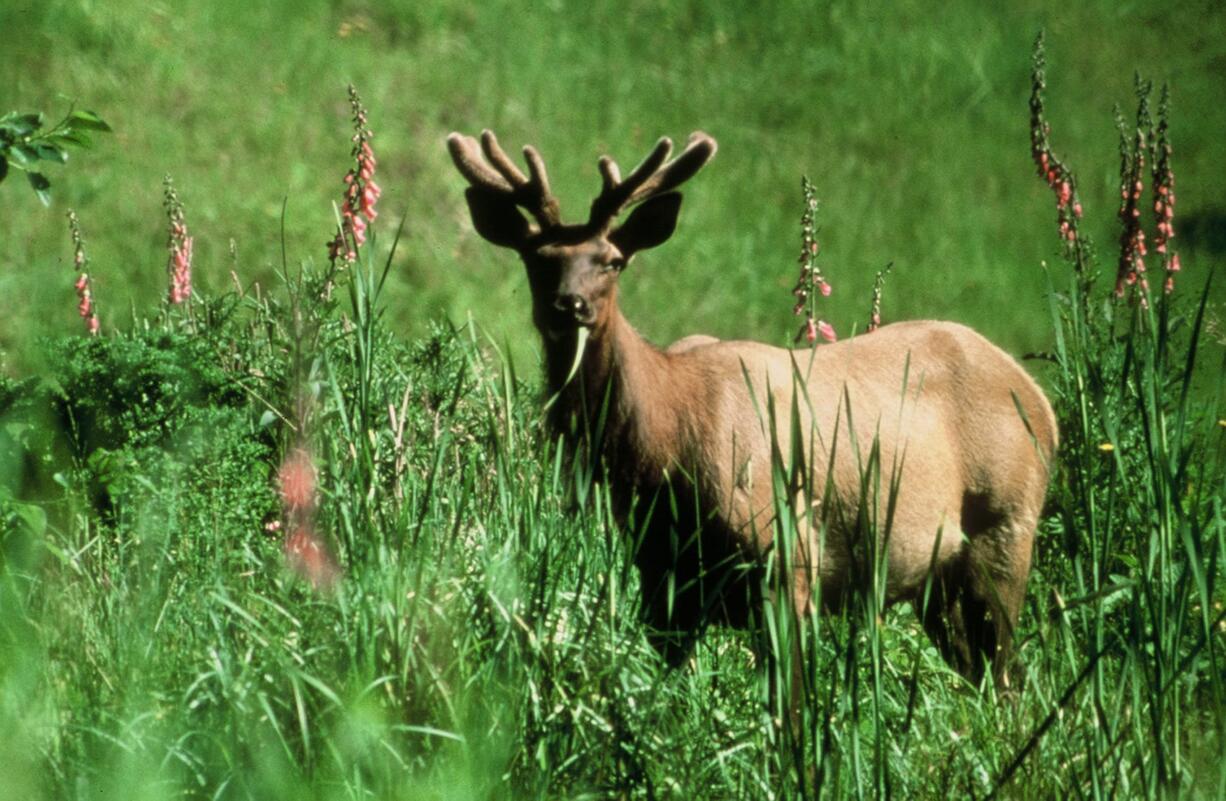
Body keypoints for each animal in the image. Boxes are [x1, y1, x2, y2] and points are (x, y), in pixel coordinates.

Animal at [446, 128, 1059, 682]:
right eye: (536, 258)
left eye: (613, 260)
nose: (569, 304)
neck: (665, 453)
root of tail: (1041, 401)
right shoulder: (663, 579)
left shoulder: (788, 557)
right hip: (939, 581)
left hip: (1004, 529)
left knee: (1008, 677)